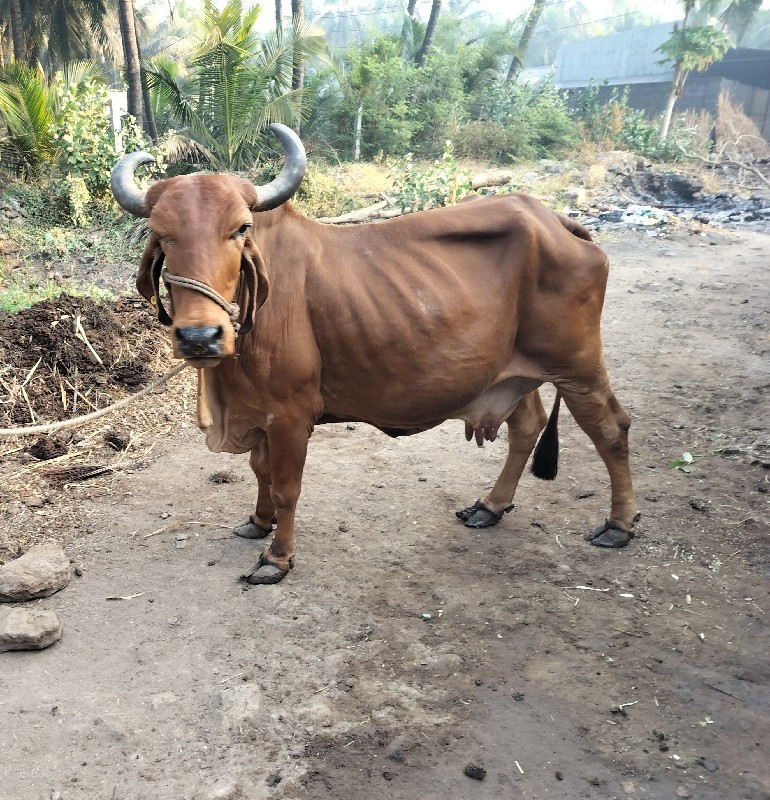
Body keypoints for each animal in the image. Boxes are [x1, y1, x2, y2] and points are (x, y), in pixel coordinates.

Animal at [109, 126, 636, 588]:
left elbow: (285, 486)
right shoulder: (261, 410)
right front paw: (258, 521)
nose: (200, 337)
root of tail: (555, 220)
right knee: (527, 426)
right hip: (510, 372)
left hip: (578, 367)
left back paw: (620, 524)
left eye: (240, 229)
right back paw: (489, 506)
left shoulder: (291, 413)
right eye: (161, 234)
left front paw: (276, 558)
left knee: (611, 428)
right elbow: (260, 470)